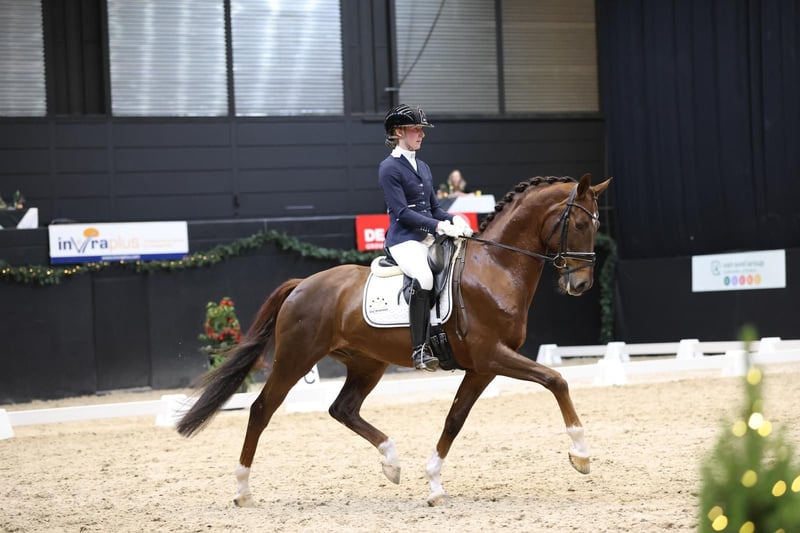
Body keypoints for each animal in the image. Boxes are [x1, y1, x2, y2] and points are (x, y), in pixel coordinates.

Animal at [177, 173, 612, 506]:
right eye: (578, 225)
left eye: (596, 226)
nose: (581, 284)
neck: (495, 266)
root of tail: (302, 285)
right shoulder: (492, 355)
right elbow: (556, 380)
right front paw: (581, 454)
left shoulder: (482, 367)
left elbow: (455, 419)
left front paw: (434, 484)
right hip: (295, 358)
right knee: (261, 410)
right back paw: (242, 490)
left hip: (367, 363)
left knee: (342, 409)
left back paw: (391, 461)